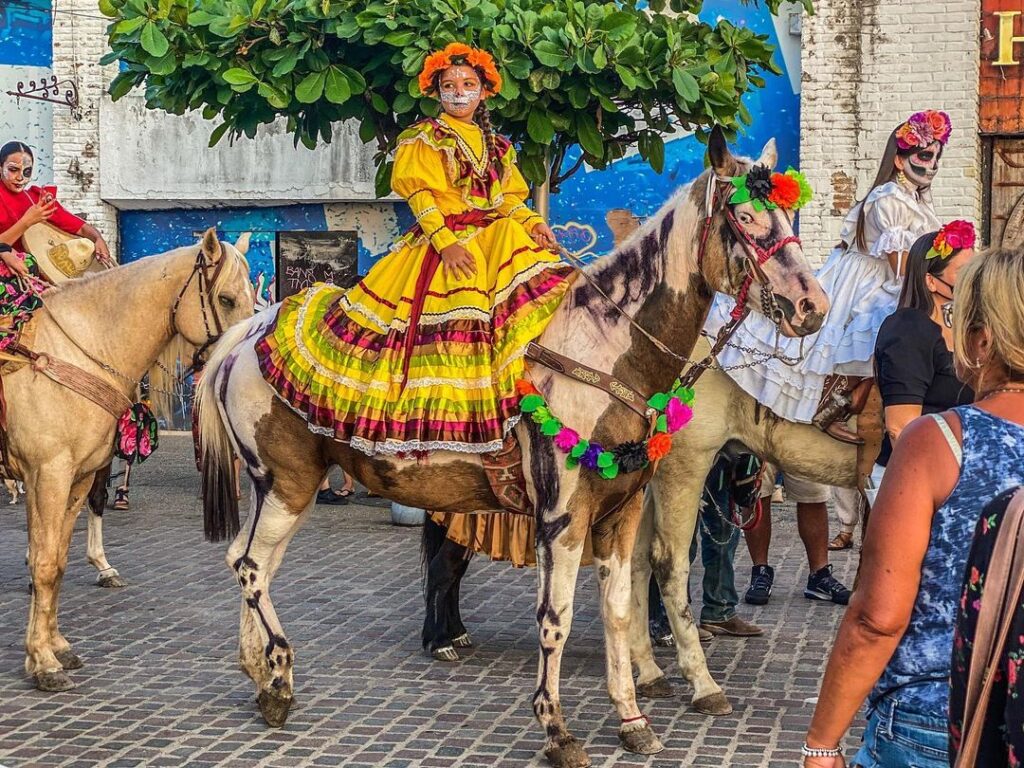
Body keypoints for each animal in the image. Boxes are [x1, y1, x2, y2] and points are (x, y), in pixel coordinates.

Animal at [197, 129, 831, 765]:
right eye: (745, 218)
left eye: (785, 214)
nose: (813, 307)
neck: (605, 351)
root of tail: (247, 334)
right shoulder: (563, 515)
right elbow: (556, 617)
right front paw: (557, 729)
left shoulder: (621, 513)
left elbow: (619, 610)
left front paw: (632, 720)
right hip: (288, 481)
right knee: (252, 565)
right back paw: (279, 677)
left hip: (276, 485)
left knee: (247, 563)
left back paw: (261, 677)